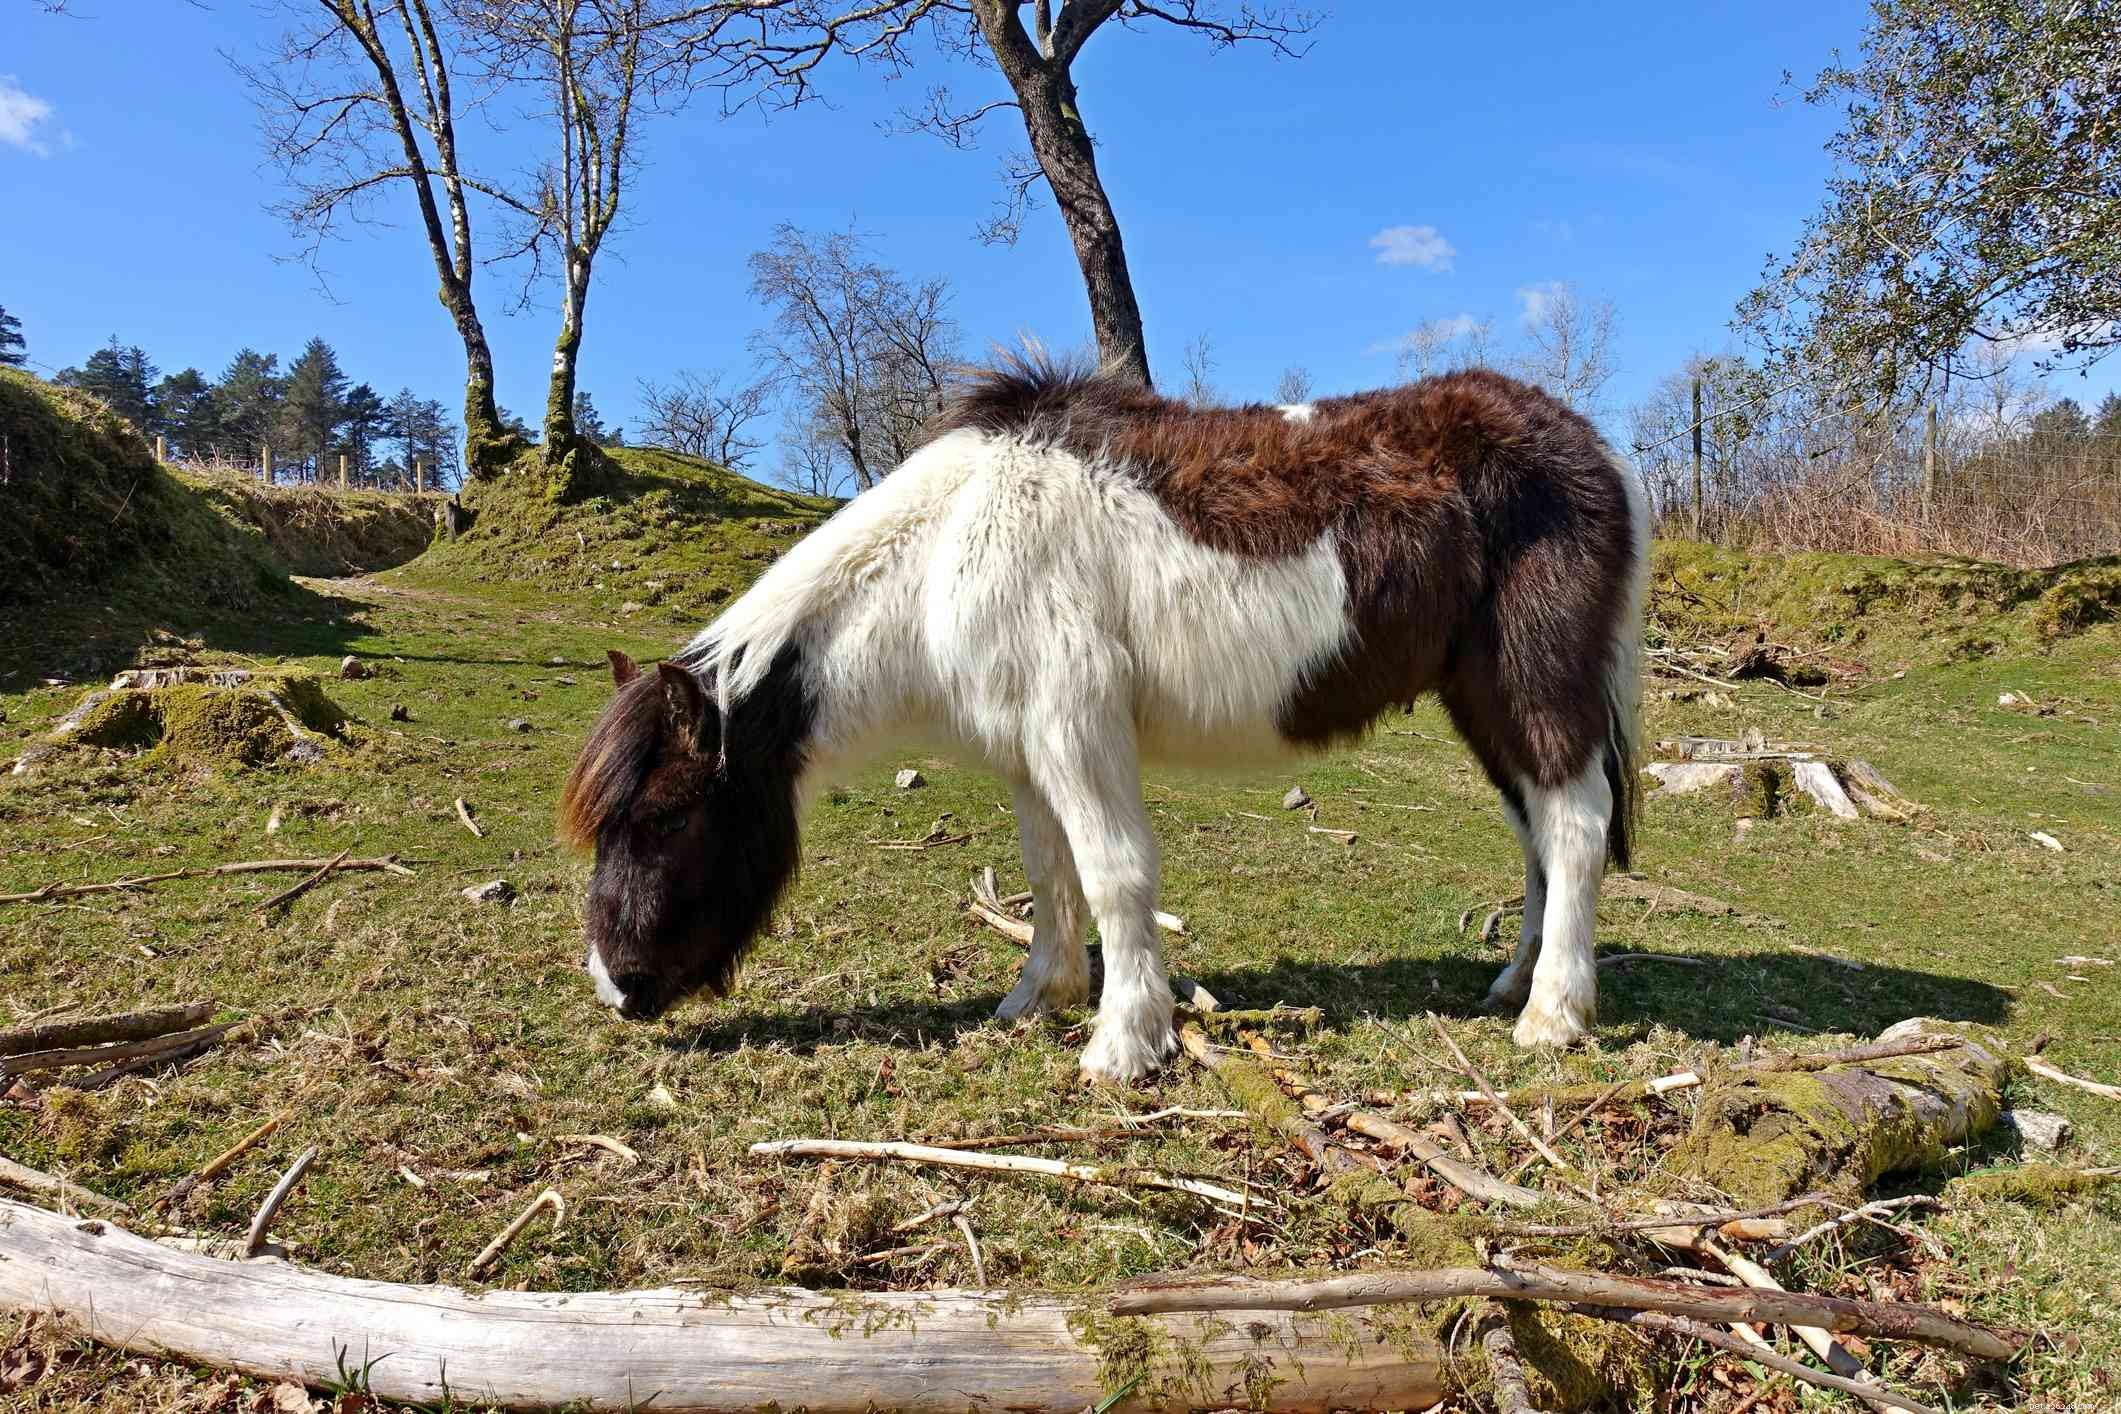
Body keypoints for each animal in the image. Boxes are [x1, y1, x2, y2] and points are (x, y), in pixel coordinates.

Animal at [559, 354, 1648, 1083]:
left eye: (662, 818)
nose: (616, 987)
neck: (946, 550)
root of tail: (1594, 451)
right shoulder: (1027, 749)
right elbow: (1053, 875)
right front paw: (1037, 997)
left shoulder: (1076, 726)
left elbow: (1116, 873)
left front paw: (1124, 1043)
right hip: (1484, 702)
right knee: (1537, 832)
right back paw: (1513, 984)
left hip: (1536, 685)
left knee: (1575, 825)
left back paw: (1555, 1015)